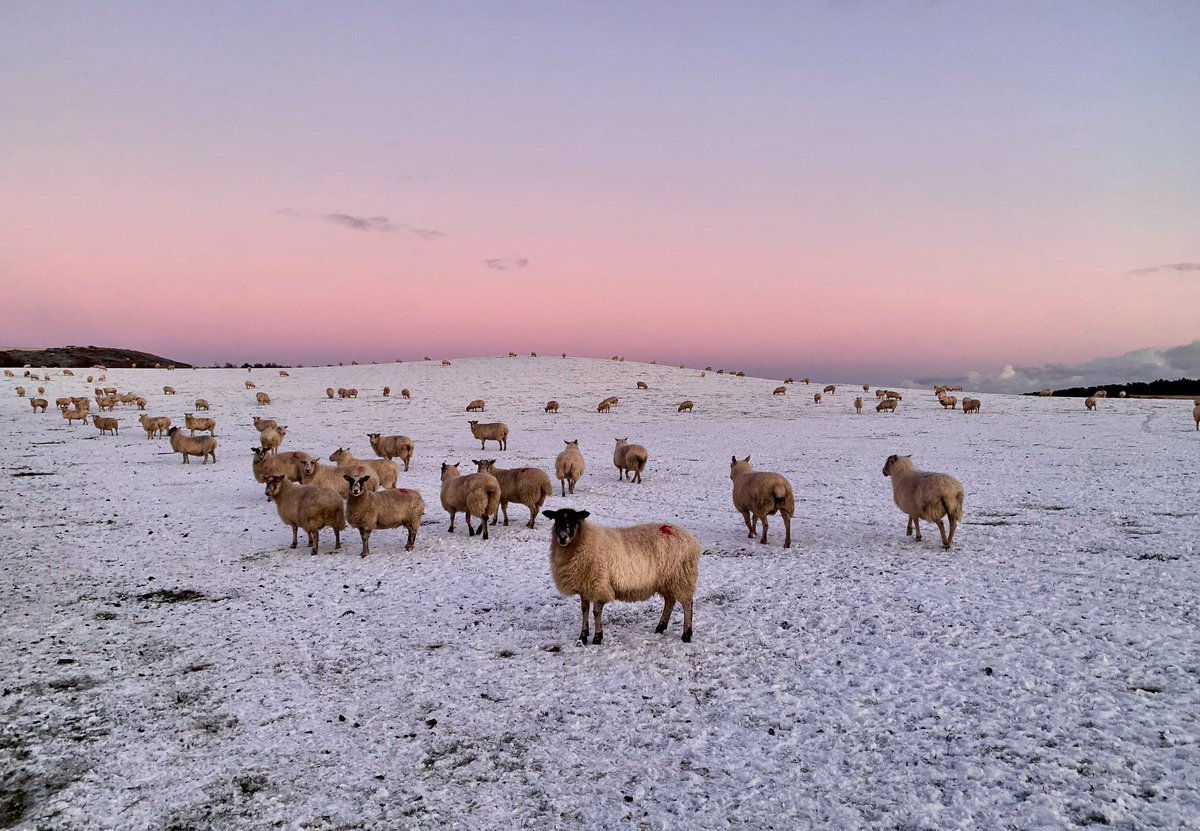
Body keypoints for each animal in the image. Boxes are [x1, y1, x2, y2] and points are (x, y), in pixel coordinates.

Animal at [543, 507, 700, 644]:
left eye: (574, 520)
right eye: (556, 520)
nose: (562, 538)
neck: (584, 540)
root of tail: (689, 537)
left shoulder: (599, 585)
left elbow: (596, 612)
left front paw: (597, 637)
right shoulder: (584, 587)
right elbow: (584, 611)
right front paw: (583, 636)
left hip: (681, 576)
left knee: (687, 603)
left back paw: (686, 634)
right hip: (667, 579)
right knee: (670, 600)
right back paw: (660, 627)